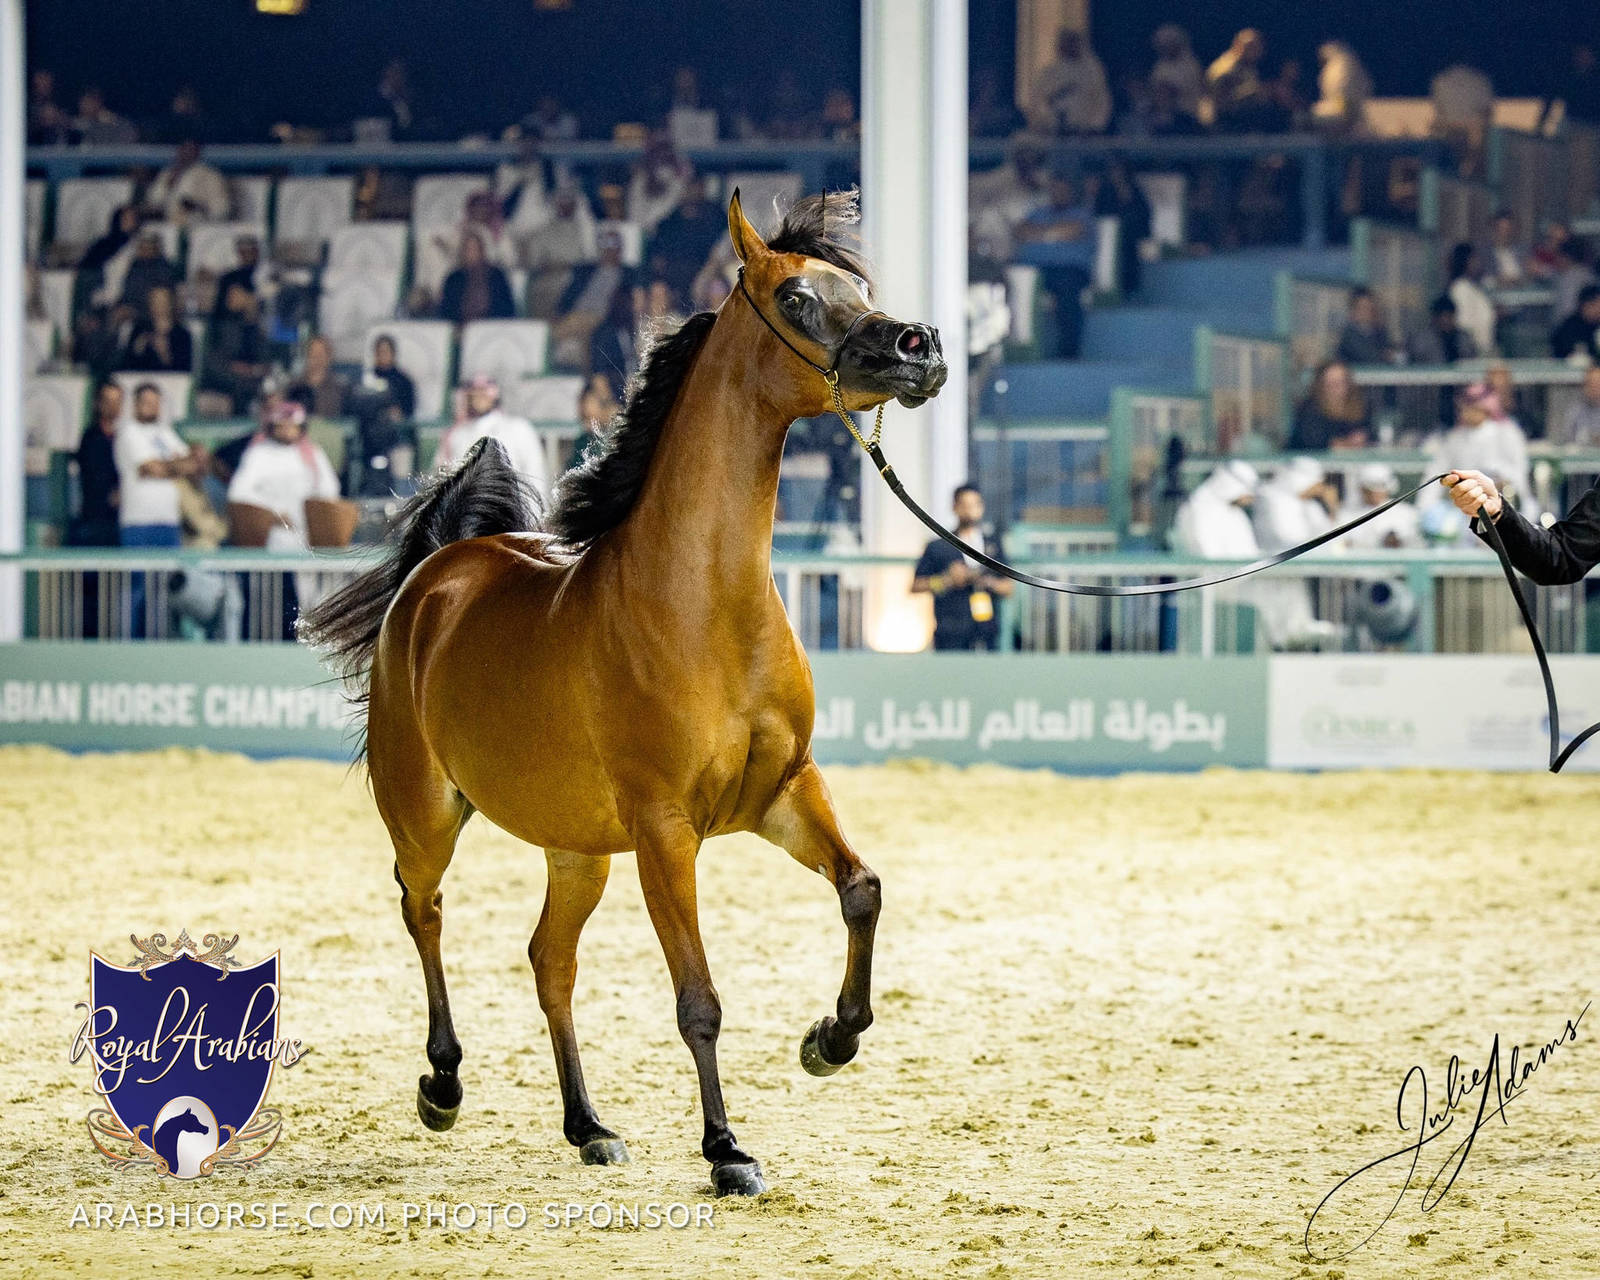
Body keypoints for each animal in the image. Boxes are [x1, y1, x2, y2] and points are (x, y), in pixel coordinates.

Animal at [301, 189, 948, 1197]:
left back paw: (588, 1125)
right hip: (427, 814)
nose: (920, 348)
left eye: (862, 292)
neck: (700, 605)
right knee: (424, 911)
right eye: (798, 298)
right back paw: (443, 1085)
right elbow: (698, 999)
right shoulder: (665, 831)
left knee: (548, 961)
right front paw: (728, 1151)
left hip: (577, 851)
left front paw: (828, 1041)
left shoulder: (783, 792)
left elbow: (861, 891)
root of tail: (437, 571)